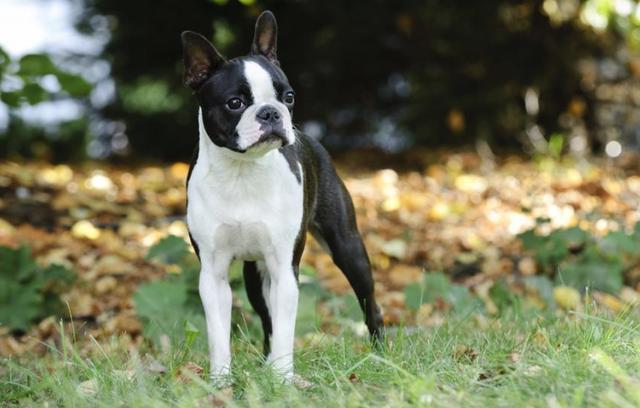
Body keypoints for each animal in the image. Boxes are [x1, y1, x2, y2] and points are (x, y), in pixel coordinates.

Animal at [180, 11, 382, 384]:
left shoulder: (284, 268)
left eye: (288, 97)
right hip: (255, 275)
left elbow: (286, 328)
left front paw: (284, 379)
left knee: (369, 303)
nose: (271, 112)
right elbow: (219, 334)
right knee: (266, 319)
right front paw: (220, 382)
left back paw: (381, 353)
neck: (242, 172)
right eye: (235, 103)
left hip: (347, 247)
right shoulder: (213, 275)